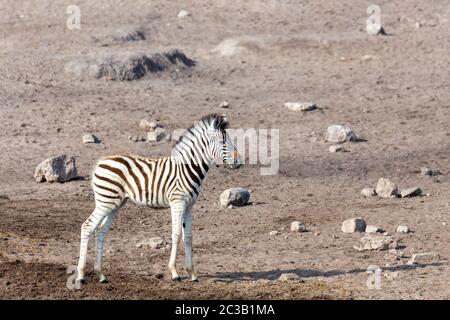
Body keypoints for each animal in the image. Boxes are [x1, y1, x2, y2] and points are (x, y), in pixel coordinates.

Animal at [76, 114, 241, 284]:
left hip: (115, 204)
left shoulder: (189, 206)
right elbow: (176, 234)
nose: (238, 162)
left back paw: (101, 274)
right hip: (105, 201)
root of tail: (101, 161)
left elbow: (188, 237)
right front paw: (174, 272)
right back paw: (81, 275)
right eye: (222, 142)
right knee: (87, 226)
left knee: (100, 232)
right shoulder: (177, 203)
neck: (187, 168)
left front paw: (192, 273)